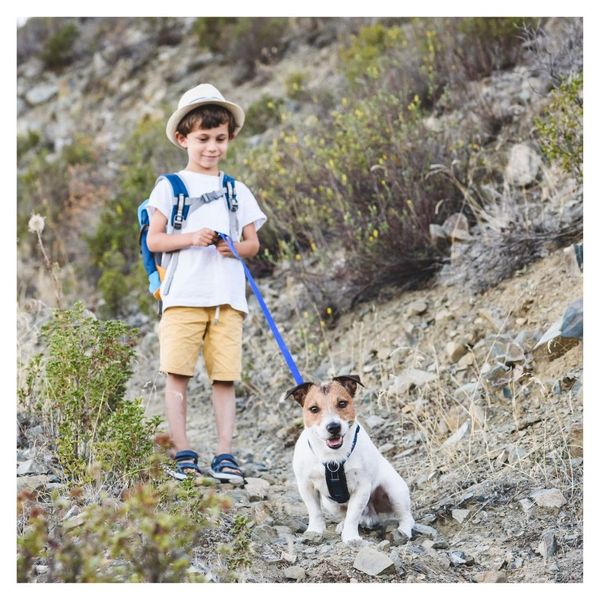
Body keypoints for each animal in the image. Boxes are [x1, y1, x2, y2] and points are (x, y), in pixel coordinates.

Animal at [286, 378, 412, 548]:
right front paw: (314, 531)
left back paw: (404, 531)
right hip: (331, 504)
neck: (333, 458)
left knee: (406, 516)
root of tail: (371, 512)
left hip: (395, 491)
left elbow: (353, 516)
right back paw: (342, 524)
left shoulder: (362, 488)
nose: (333, 427)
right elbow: (315, 512)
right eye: (313, 409)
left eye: (342, 403)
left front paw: (351, 537)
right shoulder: (306, 486)